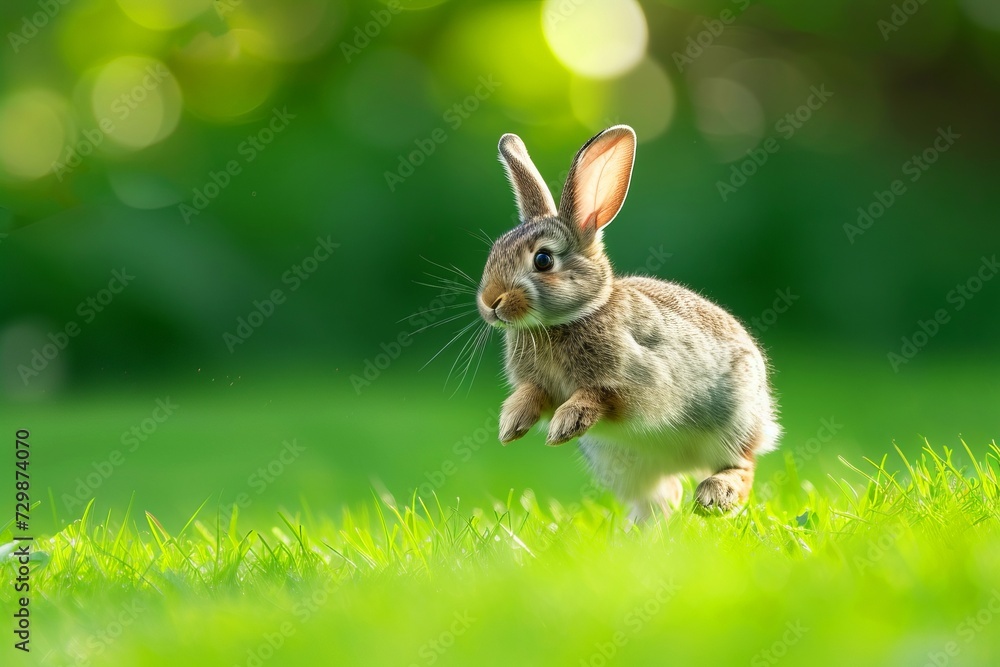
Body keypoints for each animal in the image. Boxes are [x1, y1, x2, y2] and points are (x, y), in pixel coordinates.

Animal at [476, 125, 781, 520]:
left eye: (543, 260)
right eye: (494, 252)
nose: (489, 303)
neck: (572, 317)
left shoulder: (639, 380)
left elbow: (599, 396)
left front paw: (565, 424)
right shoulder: (540, 384)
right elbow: (533, 393)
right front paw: (511, 425)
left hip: (735, 423)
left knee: (743, 466)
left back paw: (714, 496)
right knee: (659, 497)